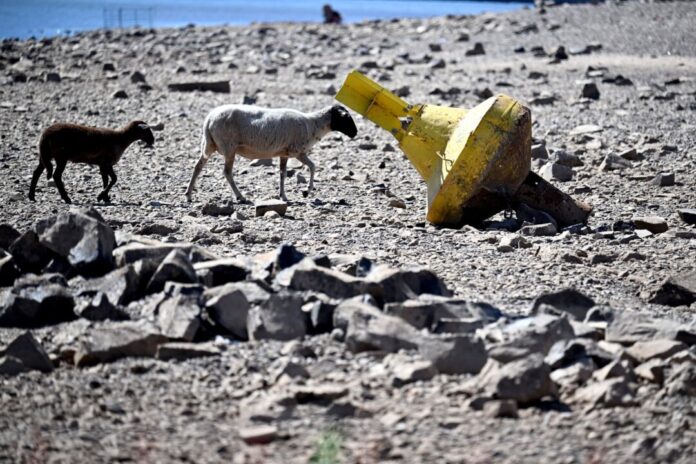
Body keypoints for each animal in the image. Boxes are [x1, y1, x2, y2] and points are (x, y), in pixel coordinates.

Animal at [184, 104, 357, 203]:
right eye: (347, 118)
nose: (355, 133)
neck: (312, 124)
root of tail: (209, 118)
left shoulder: (284, 153)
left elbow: (282, 174)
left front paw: (283, 196)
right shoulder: (297, 151)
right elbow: (313, 166)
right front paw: (307, 191)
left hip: (209, 145)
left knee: (197, 166)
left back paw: (188, 195)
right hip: (229, 148)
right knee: (227, 172)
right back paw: (240, 196)